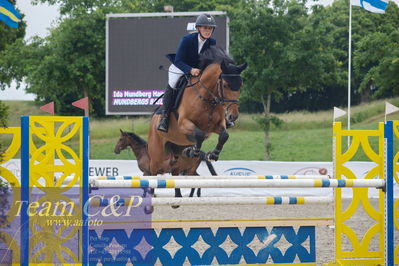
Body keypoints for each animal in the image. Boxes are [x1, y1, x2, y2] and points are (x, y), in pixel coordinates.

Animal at [148, 46, 247, 176]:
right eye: (225, 85)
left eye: (241, 85)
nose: (233, 116)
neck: (208, 99)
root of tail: (153, 121)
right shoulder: (183, 123)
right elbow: (199, 135)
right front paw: (193, 151)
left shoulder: (216, 125)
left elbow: (224, 135)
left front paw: (213, 155)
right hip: (156, 156)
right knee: (151, 171)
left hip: (176, 156)